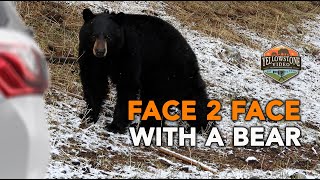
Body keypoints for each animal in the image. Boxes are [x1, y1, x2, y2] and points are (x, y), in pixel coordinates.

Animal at [78, 8, 212, 134]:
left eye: (108, 37)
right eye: (93, 36)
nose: (100, 51)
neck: (110, 56)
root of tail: (189, 52)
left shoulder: (130, 53)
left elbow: (127, 85)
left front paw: (115, 126)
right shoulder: (89, 56)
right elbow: (93, 81)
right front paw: (89, 115)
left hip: (166, 71)